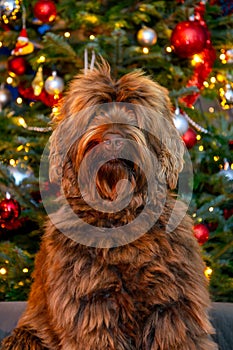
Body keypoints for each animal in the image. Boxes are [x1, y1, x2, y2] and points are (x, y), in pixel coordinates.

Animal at [0, 61, 218, 348]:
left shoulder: (172, 306)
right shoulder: (92, 306)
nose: (114, 139)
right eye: (96, 114)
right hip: (27, 337)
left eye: (133, 113)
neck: (119, 212)